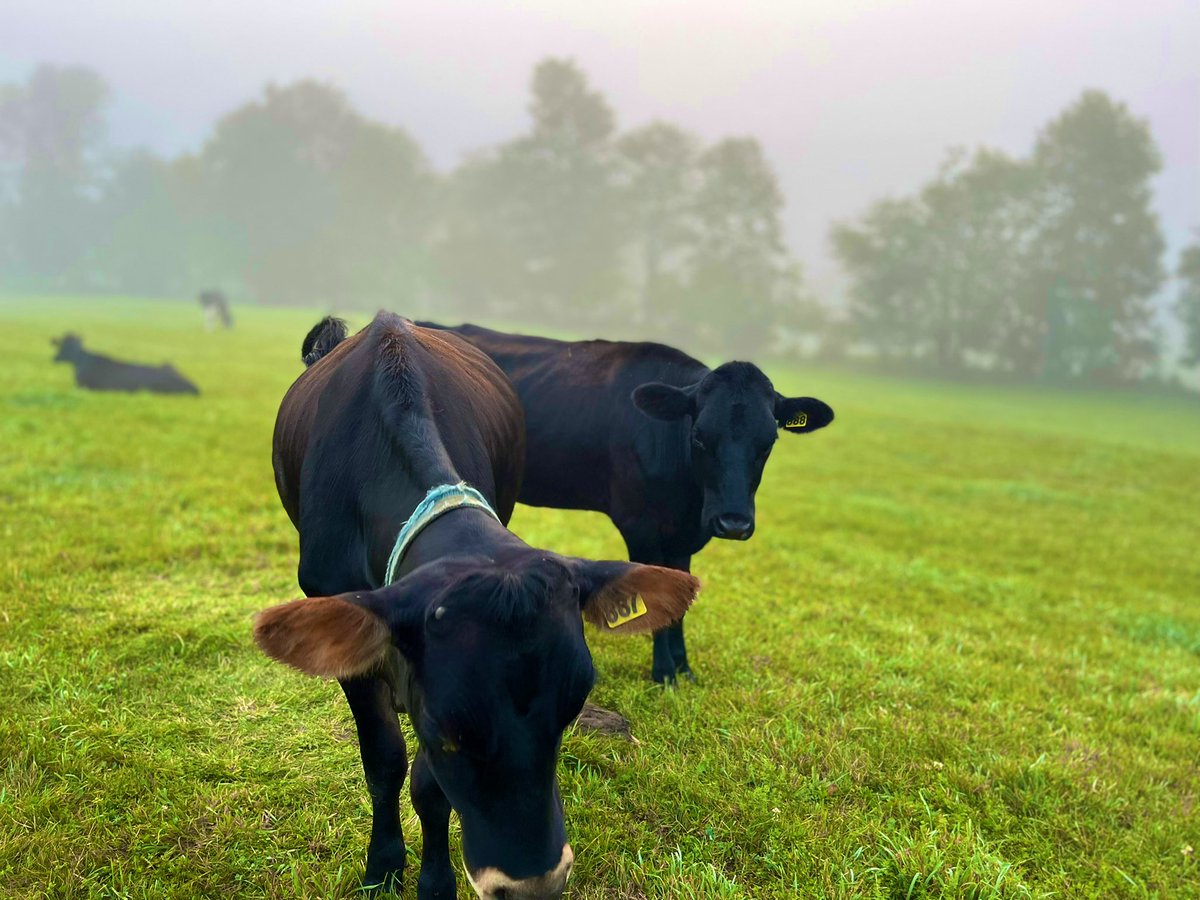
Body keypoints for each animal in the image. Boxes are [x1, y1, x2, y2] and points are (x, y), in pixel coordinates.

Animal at [255, 313, 699, 899]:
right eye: (444, 723)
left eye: (574, 704)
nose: (534, 883)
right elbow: (384, 761)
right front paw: (384, 865)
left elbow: (429, 787)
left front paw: (435, 881)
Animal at [417, 322, 833, 684]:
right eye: (699, 435)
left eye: (769, 442)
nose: (733, 522)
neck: (690, 499)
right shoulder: (640, 525)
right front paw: (664, 673)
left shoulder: (683, 536)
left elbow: (680, 598)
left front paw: (683, 669)